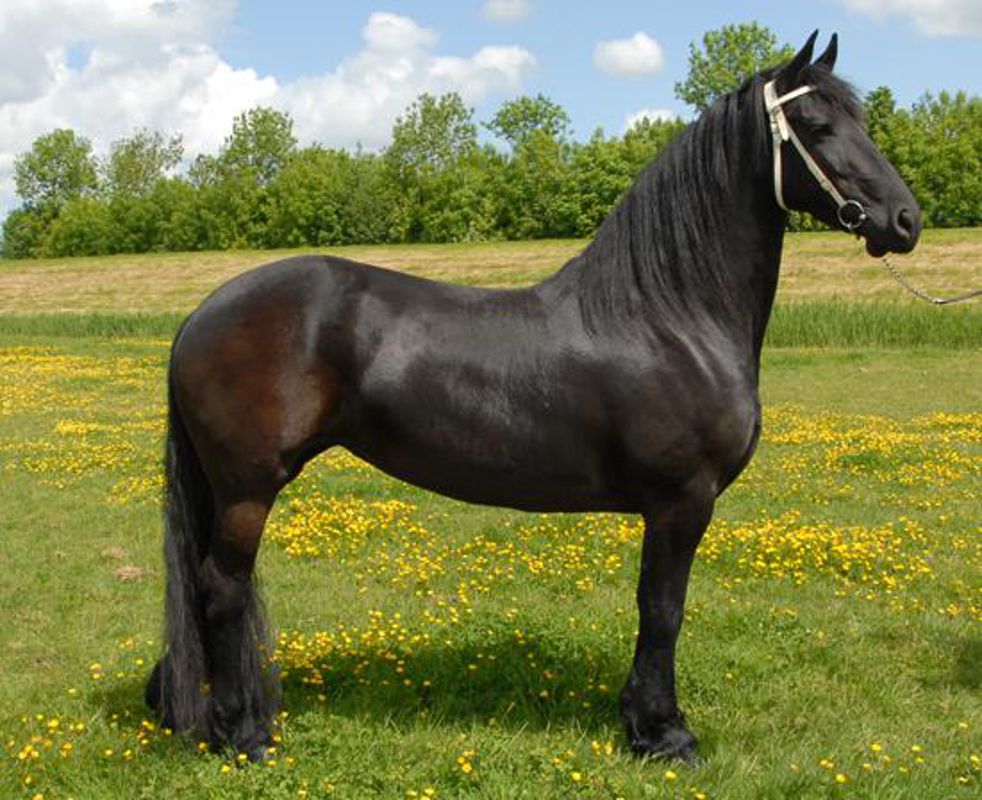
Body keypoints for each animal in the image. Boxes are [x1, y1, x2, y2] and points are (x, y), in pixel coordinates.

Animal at [145, 32, 921, 761]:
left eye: (859, 117)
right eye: (816, 125)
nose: (905, 220)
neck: (668, 314)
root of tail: (201, 315)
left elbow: (656, 609)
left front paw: (642, 722)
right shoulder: (681, 500)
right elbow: (662, 608)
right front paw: (662, 732)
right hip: (247, 488)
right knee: (221, 590)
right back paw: (243, 734)